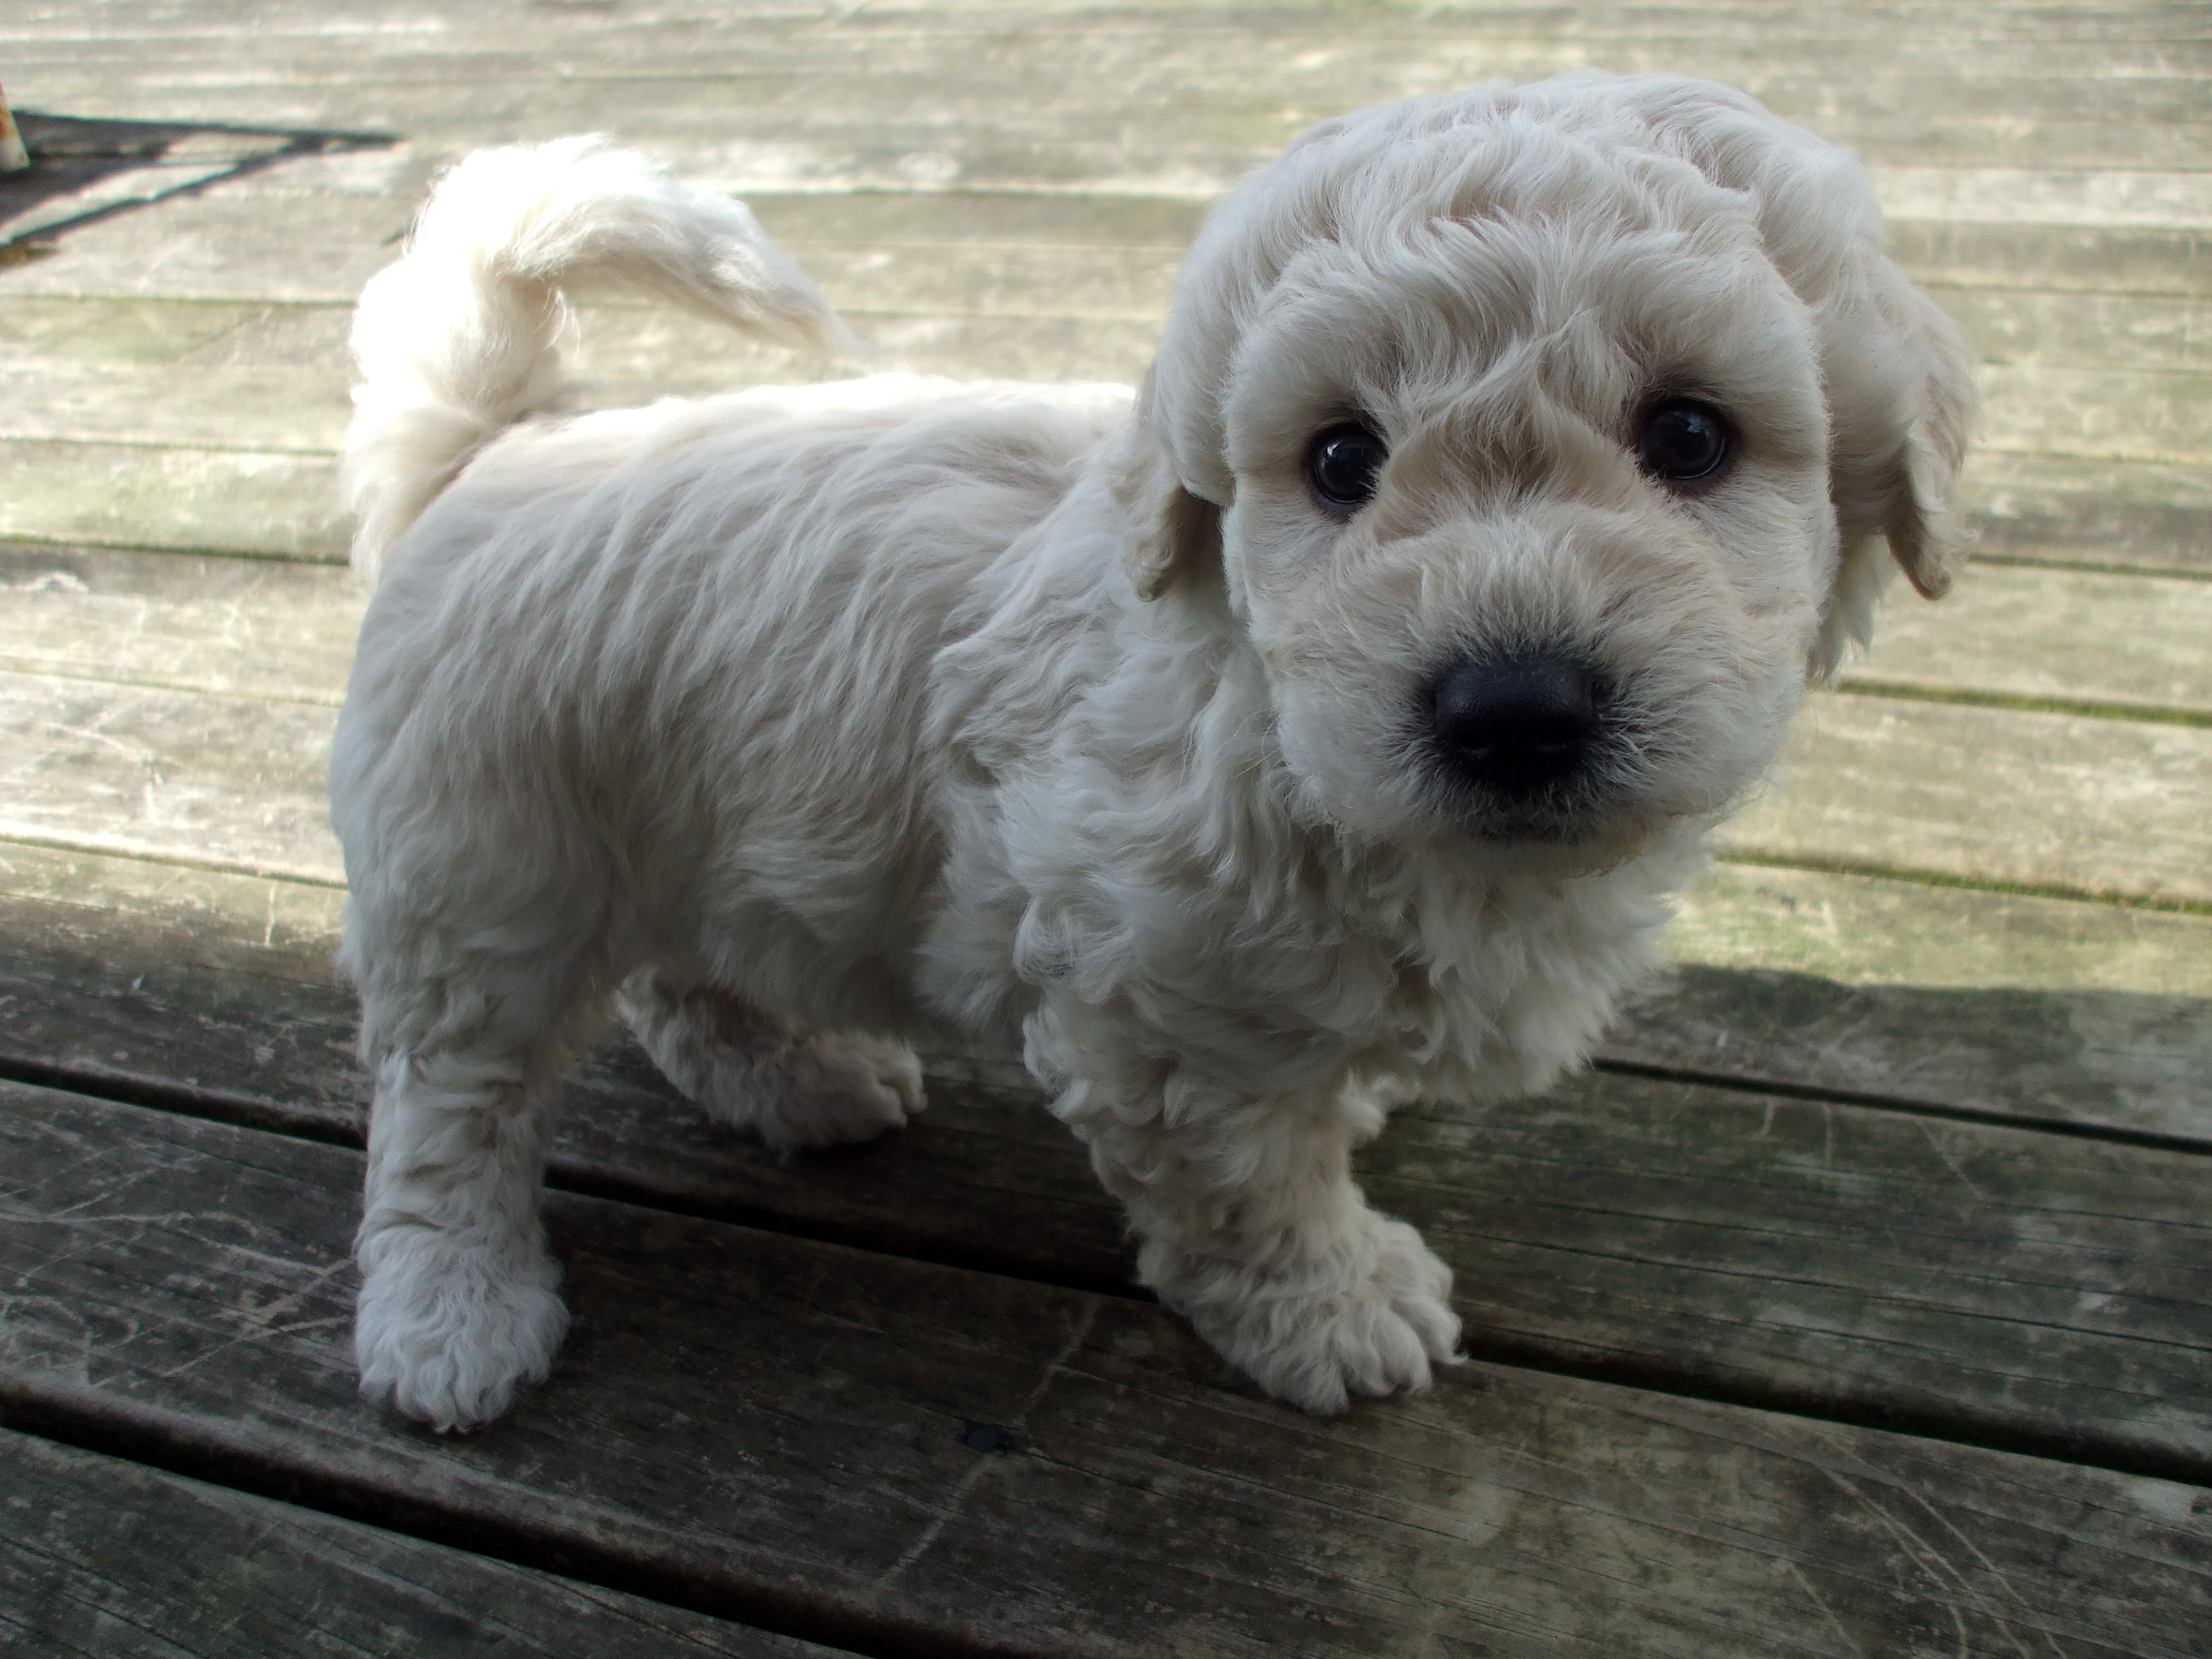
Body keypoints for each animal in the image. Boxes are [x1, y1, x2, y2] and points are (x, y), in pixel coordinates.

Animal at [335, 71, 1982, 1433]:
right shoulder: (1167, 1013)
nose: (1512, 707)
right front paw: (1339, 1309)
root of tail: (495, 447)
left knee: (688, 982)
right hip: (482, 866)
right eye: (1340, 461)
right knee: (449, 1107)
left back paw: (801, 1082)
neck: (1263, 700)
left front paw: (1358, 1115)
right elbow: (1252, 1190)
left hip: (677, 813)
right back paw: (451, 1318)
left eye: (1690, 436)